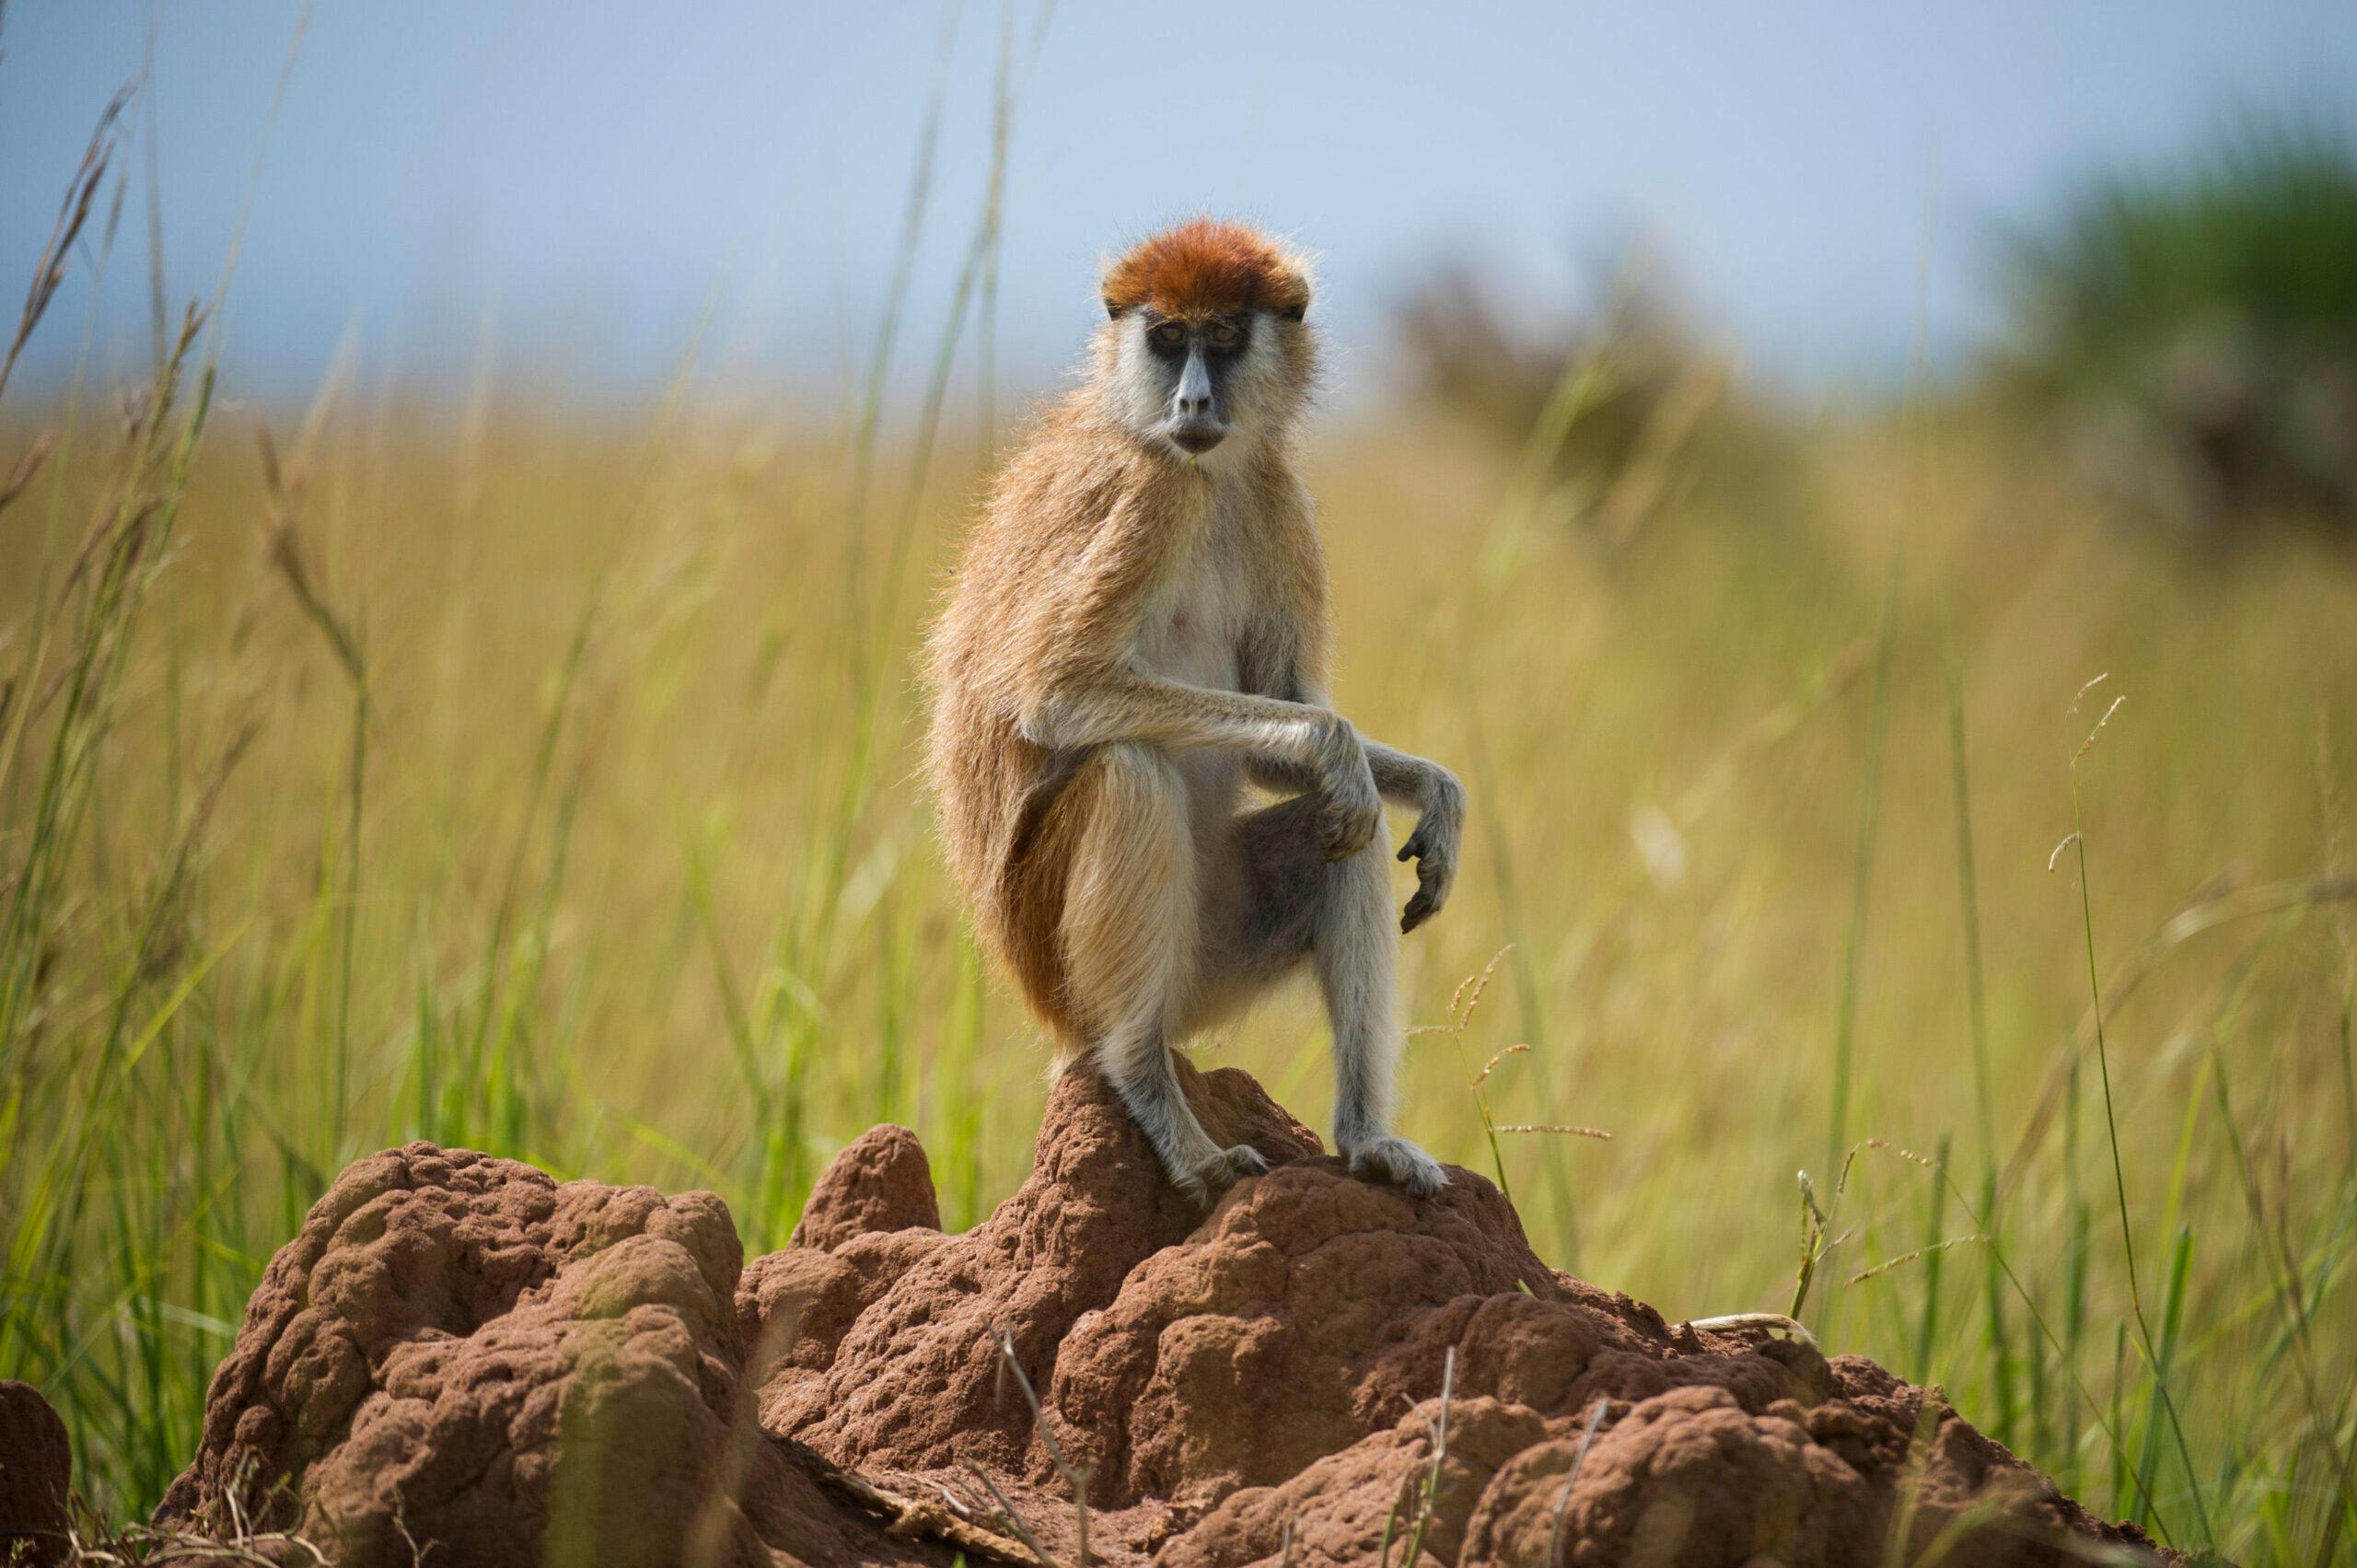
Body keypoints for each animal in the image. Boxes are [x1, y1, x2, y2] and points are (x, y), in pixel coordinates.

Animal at [923, 218, 1465, 1203]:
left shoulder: (1275, 493)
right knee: (1131, 772)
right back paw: (1152, 1093)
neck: (1196, 465)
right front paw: (1340, 748)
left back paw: (1365, 1138)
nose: (1194, 398)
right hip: (1065, 969)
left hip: (1210, 961)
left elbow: (1286, 739)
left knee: (1348, 837)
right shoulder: (1152, 491)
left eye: (1222, 338)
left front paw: (1437, 793)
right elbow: (1059, 691)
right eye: (1168, 337)